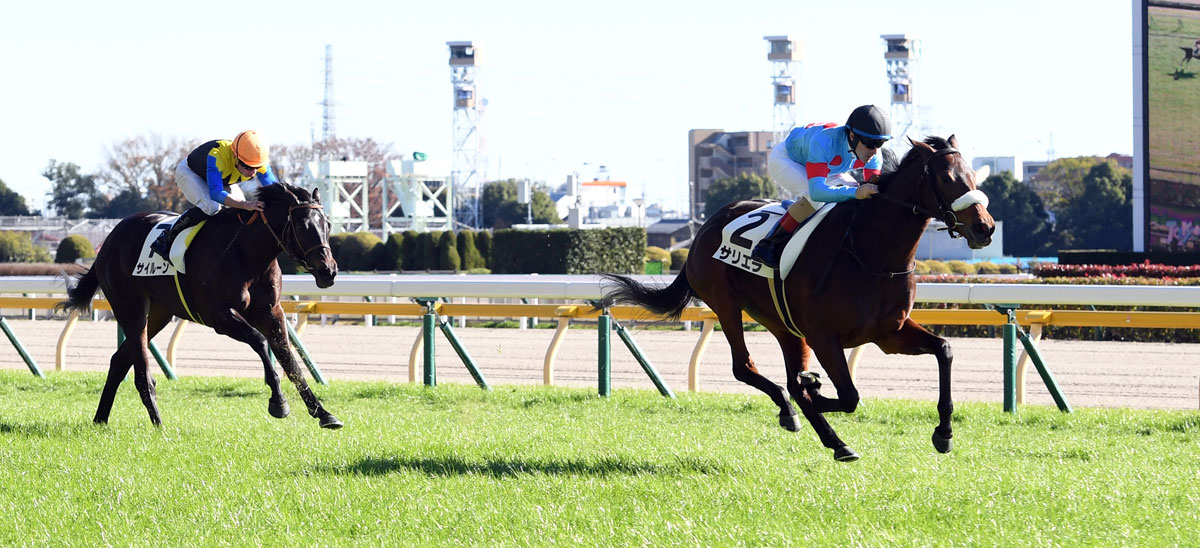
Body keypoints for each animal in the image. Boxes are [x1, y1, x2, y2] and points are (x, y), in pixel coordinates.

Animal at [56, 182, 344, 429]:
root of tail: (109, 240)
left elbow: (290, 361)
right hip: (130, 307)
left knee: (119, 361)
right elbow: (261, 342)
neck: (247, 253)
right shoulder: (217, 315)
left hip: (159, 314)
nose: (328, 271)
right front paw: (278, 402)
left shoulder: (271, 312)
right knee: (140, 369)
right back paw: (158, 424)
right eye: (303, 225)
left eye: (328, 225)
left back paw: (100, 419)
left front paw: (323, 414)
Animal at [600, 136, 995, 461]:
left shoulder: (888, 333)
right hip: (726, 303)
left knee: (787, 378)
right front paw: (815, 390)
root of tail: (706, 226)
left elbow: (944, 349)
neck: (871, 253)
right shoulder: (824, 337)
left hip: (782, 321)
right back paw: (815, 425)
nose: (985, 227)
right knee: (744, 367)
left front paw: (944, 433)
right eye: (946, 178)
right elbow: (849, 396)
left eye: (973, 176)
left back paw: (813, 425)